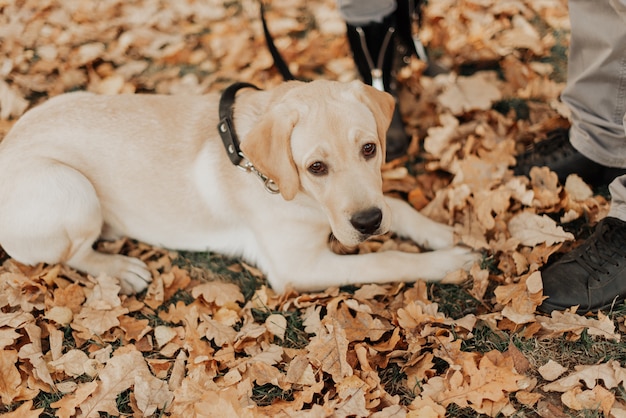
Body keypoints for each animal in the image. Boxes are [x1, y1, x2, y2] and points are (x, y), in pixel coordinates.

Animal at [0, 79, 472, 294]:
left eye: (370, 149)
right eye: (316, 167)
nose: (368, 222)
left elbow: (397, 205)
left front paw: (436, 232)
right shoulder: (298, 268)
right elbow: (386, 260)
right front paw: (446, 263)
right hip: (70, 188)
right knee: (73, 255)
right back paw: (119, 269)